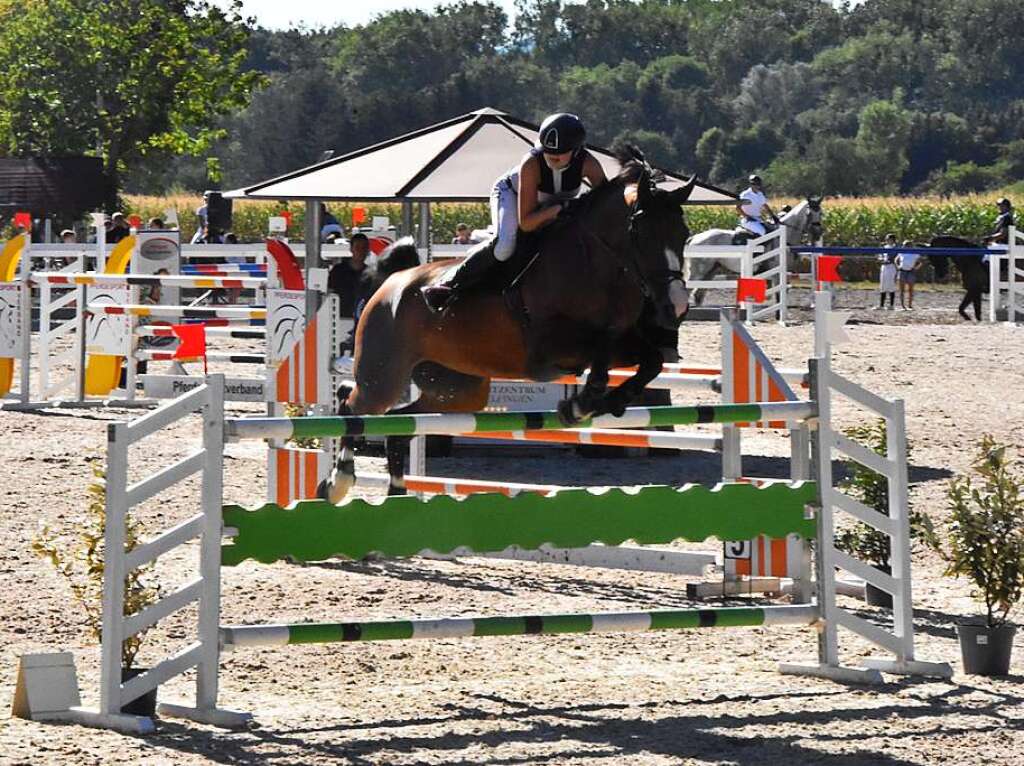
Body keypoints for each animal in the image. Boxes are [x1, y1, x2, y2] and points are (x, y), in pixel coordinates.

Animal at [325, 149, 696, 501]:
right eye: (642, 233)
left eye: (684, 234)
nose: (675, 306)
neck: (597, 266)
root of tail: (392, 283)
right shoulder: (550, 350)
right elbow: (599, 352)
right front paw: (579, 405)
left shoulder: (622, 343)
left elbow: (649, 360)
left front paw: (606, 403)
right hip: (384, 377)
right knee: (351, 403)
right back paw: (338, 482)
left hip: (459, 389)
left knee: (401, 423)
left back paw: (397, 492)